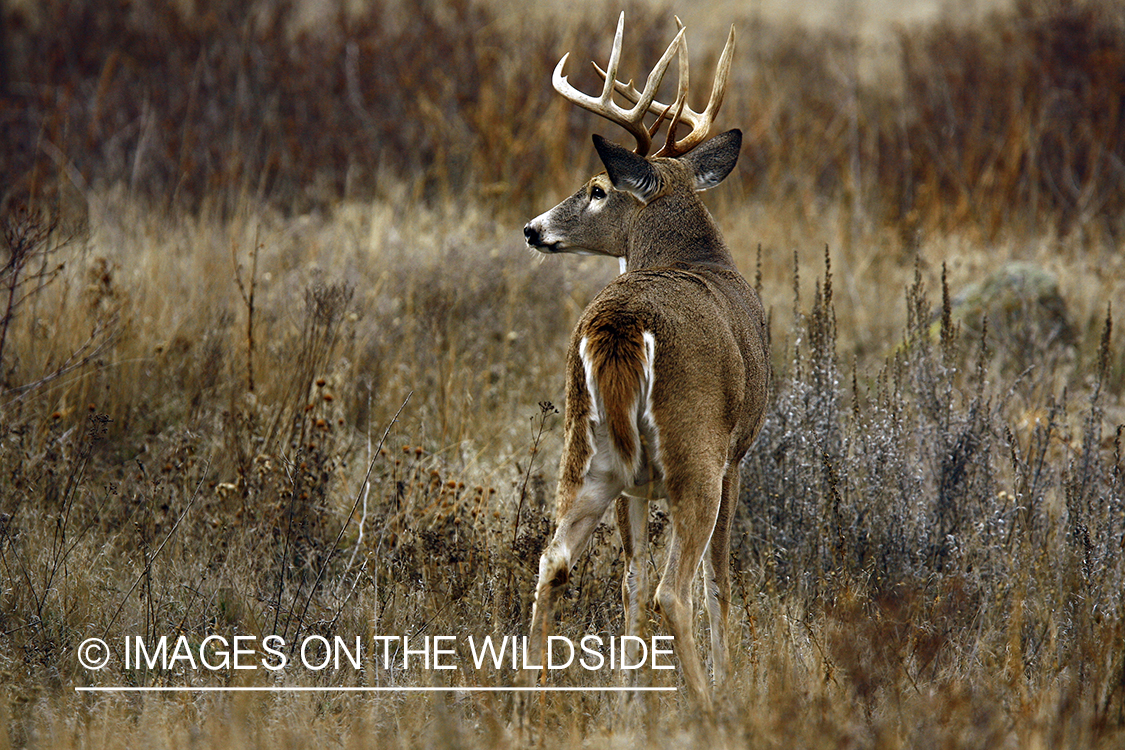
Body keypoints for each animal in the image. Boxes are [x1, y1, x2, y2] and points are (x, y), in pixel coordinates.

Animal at [519, 11, 769, 715]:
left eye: (597, 189)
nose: (532, 228)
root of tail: (621, 325)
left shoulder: (637, 484)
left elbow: (628, 580)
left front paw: (628, 699)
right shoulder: (737, 453)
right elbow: (717, 581)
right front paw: (728, 677)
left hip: (589, 451)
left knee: (554, 560)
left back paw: (532, 699)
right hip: (694, 453)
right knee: (673, 591)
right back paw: (710, 706)